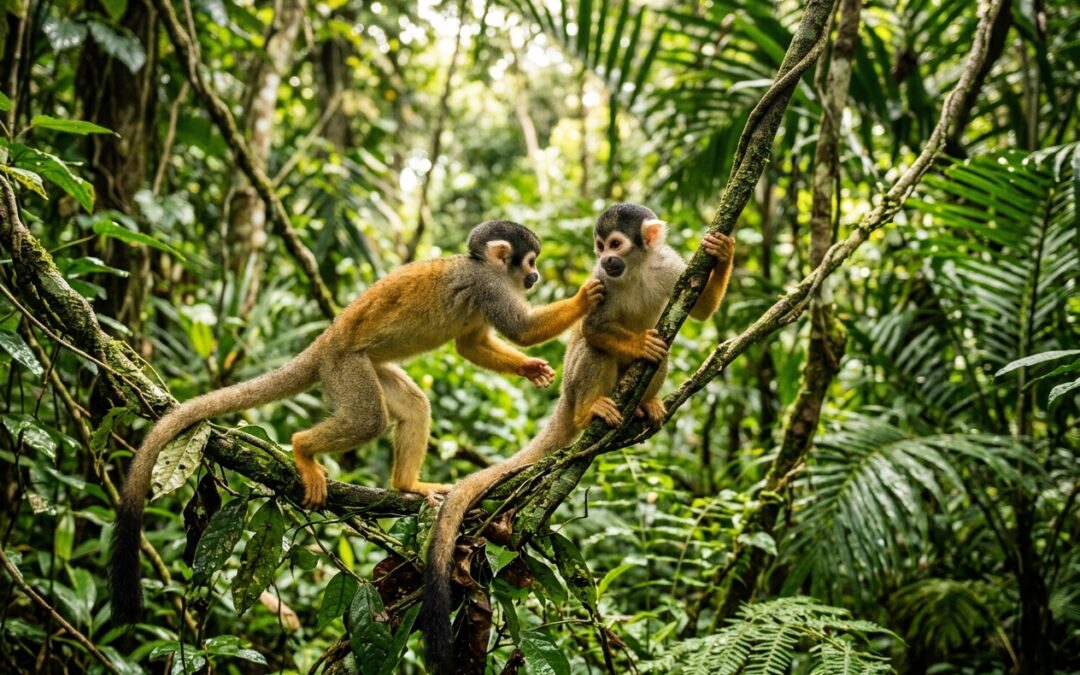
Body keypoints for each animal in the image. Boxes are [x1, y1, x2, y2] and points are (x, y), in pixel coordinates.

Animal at [108, 219, 606, 625]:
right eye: (531, 262)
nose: (535, 277)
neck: (483, 266)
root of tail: (325, 341)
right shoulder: (490, 285)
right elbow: (520, 330)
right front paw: (584, 296)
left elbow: (469, 346)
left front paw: (529, 368)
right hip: (345, 368)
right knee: (368, 418)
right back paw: (302, 449)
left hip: (365, 367)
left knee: (413, 406)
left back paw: (407, 485)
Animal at [420, 204, 735, 673]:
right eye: (600, 249)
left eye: (616, 244)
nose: (607, 260)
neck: (635, 269)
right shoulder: (601, 283)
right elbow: (594, 331)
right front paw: (636, 342)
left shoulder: (672, 267)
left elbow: (698, 313)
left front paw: (723, 250)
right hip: (572, 385)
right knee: (602, 347)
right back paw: (594, 407)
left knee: (667, 342)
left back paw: (647, 403)